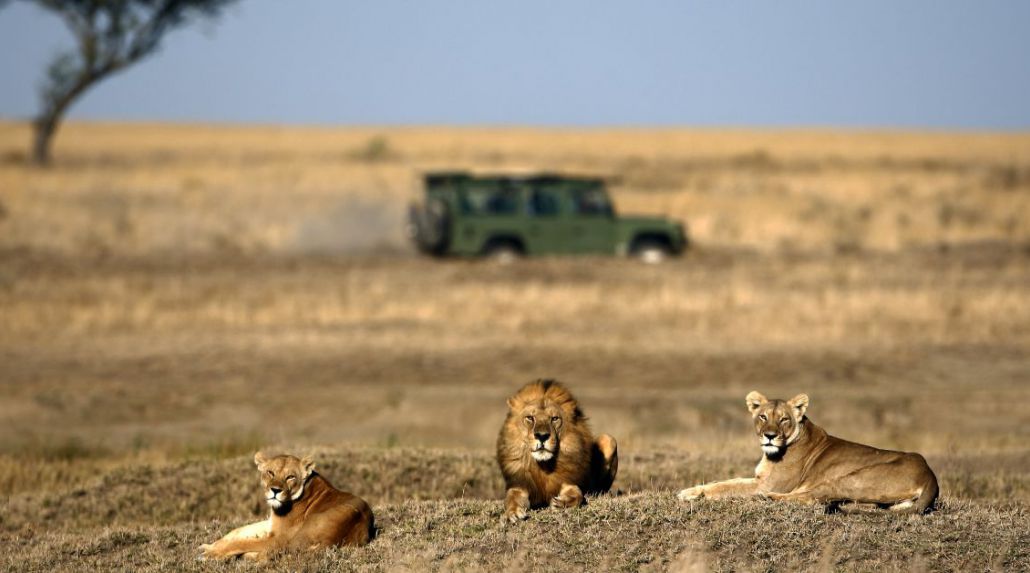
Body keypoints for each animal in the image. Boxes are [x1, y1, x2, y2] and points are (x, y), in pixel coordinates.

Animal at [198, 451, 372, 560]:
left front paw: (210, 554)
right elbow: (238, 530)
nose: (275, 490)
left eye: (290, 477)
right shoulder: (271, 524)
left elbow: (242, 542)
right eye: (270, 473)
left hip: (294, 538)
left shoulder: (279, 537)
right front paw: (208, 546)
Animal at [498, 381, 618, 523]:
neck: (543, 465)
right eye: (530, 418)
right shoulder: (520, 484)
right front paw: (512, 513)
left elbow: (577, 494)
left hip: (609, 440)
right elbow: (511, 499)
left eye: (554, 418)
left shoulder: (569, 482)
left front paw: (562, 503)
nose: (542, 436)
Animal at [679, 391, 939, 513]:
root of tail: (931, 476)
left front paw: (694, 495)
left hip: (849, 478)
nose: (770, 435)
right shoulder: (759, 478)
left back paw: (766, 498)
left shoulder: (768, 483)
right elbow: (723, 482)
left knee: (814, 497)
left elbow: (727, 488)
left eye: (783, 419)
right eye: (763, 416)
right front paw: (690, 491)